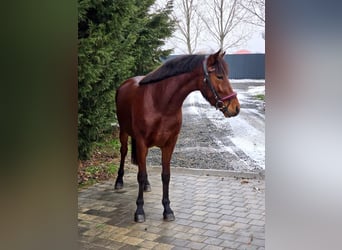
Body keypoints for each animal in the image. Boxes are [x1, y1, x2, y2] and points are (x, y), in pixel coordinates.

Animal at [113, 49, 239, 222]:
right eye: (220, 76)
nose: (236, 108)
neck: (159, 102)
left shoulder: (170, 143)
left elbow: (165, 175)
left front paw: (167, 209)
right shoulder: (141, 142)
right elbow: (140, 175)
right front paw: (139, 210)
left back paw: (146, 185)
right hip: (124, 133)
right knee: (124, 152)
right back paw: (119, 181)